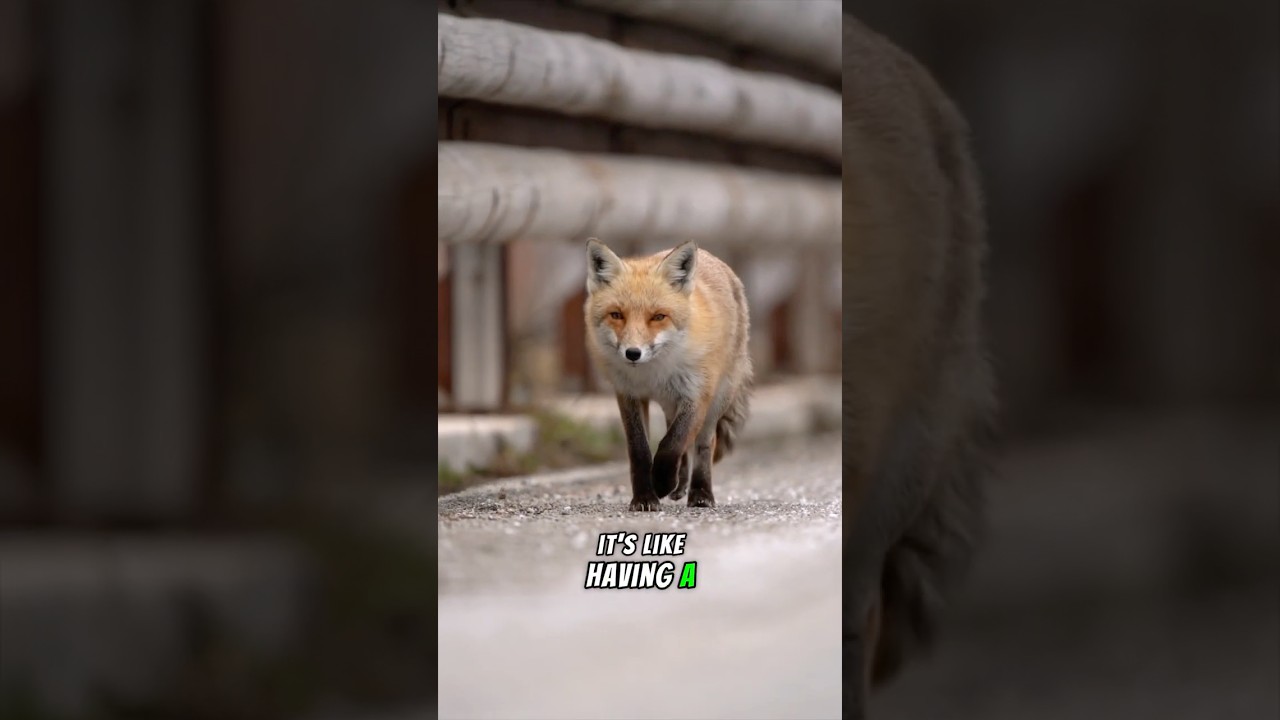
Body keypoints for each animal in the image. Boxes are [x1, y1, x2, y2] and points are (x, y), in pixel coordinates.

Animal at [583, 238, 753, 512]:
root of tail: (713, 259)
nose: (633, 353)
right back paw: (679, 484)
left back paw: (700, 493)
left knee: (703, 444)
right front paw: (645, 497)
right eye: (616, 315)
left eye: (658, 317)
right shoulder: (628, 394)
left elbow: (671, 444)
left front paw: (661, 483)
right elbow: (641, 450)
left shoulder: (697, 394)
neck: (653, 374)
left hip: (717, 398)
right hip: (671, 402)